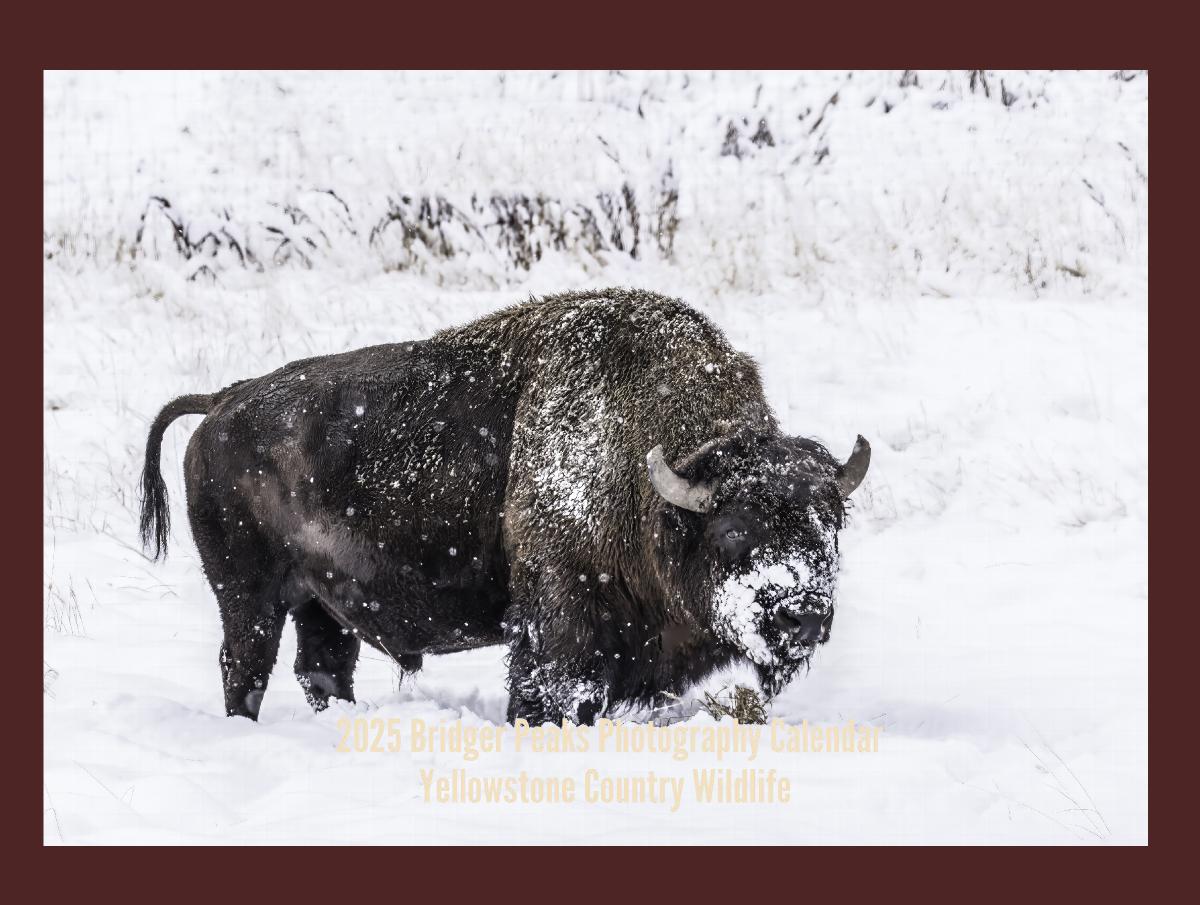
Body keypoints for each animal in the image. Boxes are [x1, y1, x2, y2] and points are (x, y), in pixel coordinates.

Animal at [142, 285, 873, 724]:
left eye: (828, 526)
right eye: (732, 531)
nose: (803, 614)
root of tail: (222, 401)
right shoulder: (561, 617)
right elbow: (549, 686)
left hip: (320, 605)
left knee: (321, 670)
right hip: (248, 597)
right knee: (246, 668)